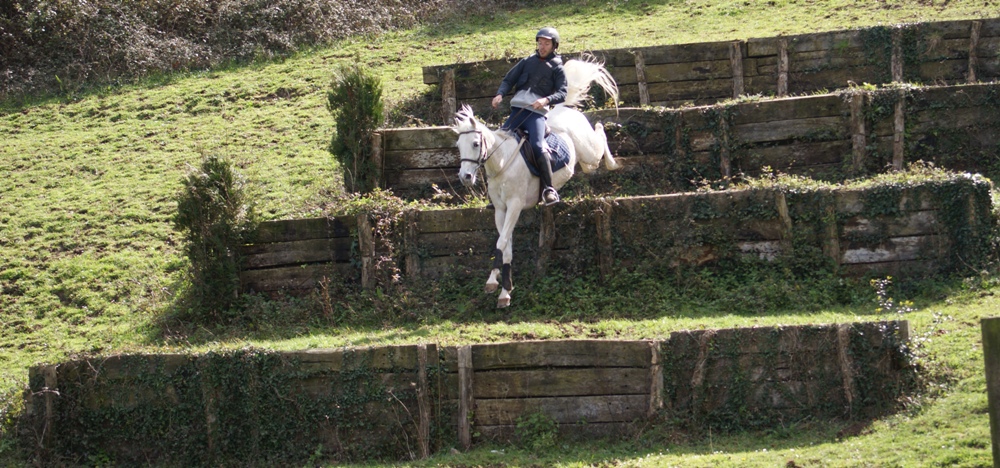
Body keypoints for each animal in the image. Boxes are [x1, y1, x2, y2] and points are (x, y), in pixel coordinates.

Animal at [458, 54, 620, 308]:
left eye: (475, 144)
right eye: (458, 146)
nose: (465, 177)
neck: (503, 163)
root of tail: (564, 109)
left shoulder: (515, 205)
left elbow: (501, 243)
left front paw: (495, 285)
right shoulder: (501, 209)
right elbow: (506, 246)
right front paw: (505, 291)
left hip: (589, 153)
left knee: (599, 133)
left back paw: (612, 158)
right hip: (585, 162)